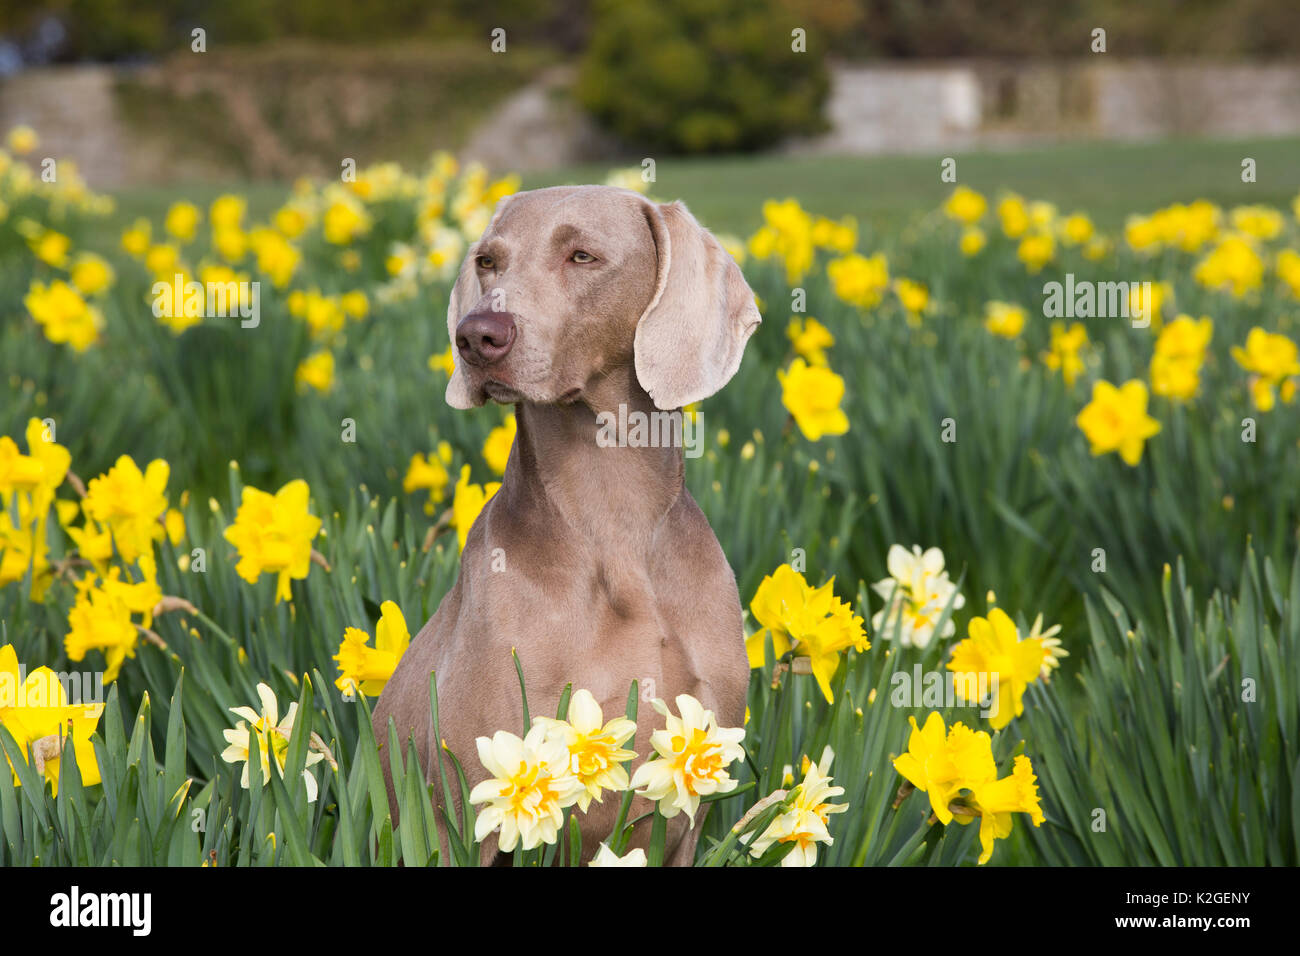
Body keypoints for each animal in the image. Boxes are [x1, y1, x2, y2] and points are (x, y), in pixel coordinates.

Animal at [374, 184, 759, 868]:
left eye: (583, 256)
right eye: (488, 262)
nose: (477, 335)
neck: (612, 519)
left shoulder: (691, 806)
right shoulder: (469, 807)